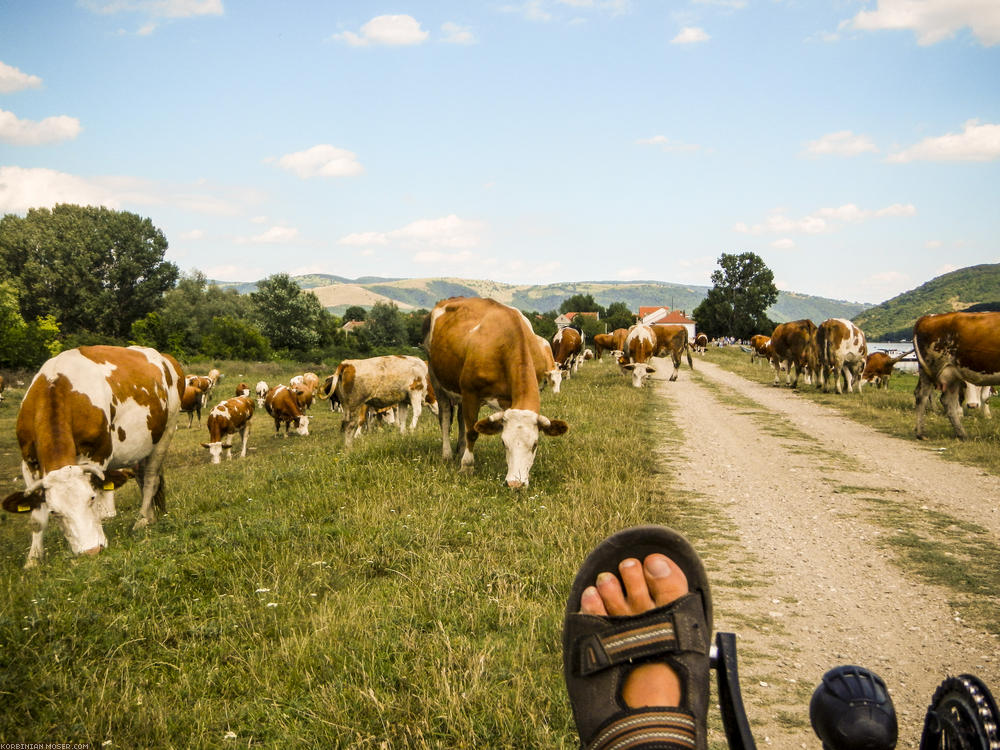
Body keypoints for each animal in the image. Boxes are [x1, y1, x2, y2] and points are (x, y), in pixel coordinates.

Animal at [1, 346, 184, 568]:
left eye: (91, 498)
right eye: (54, 512)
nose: (91, 550)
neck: (57, 387)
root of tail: (163, 357)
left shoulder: (98, 455)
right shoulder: (28, 463)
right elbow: (36, 518)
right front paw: (33, 559)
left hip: (166, 432)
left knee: (150, 480)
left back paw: (141, 520)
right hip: (141, 446)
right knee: (141, 477)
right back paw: (149, 518)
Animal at [424, 296, 572, 490]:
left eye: (535, 444)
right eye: (504, 443)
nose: (515, 483)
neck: (505, 341)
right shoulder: (471, 393)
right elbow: (472, 431)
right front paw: (467, 466)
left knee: (461, 419)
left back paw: (461, 449)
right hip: (437, 380)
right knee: (446, 418)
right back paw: (448, 454)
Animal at [916, 312, 1000, 440]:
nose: (972, 405)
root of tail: (928, 317)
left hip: (951, 375)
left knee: (946, 400)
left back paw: (962, 434)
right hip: (931, 369)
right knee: (922, 396)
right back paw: (921, 434)